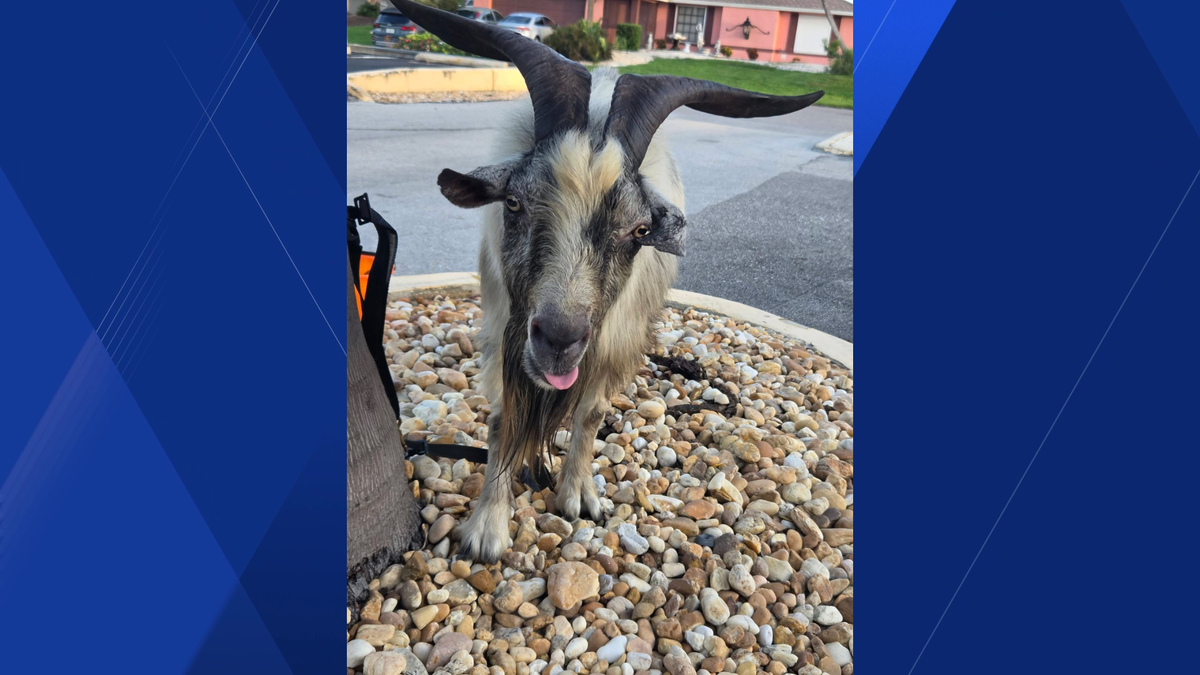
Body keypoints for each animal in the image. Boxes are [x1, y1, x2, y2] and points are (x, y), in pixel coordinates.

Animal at [391, 0, 824, 562]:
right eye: (514, 203)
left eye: (639, 230)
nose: (558, 341)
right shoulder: (504, 330)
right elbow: (502, 418)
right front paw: (487, 529)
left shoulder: (615, 337)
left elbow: (593, 413)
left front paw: (578, 495)